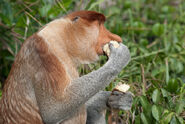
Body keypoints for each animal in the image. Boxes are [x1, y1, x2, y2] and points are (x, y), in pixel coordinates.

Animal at [0, 10, 132, 124]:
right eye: (100, 25)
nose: (117, 38)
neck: (63, 41)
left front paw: (116, 99)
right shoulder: (42, 53)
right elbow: (54, 109)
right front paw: (120, 56)